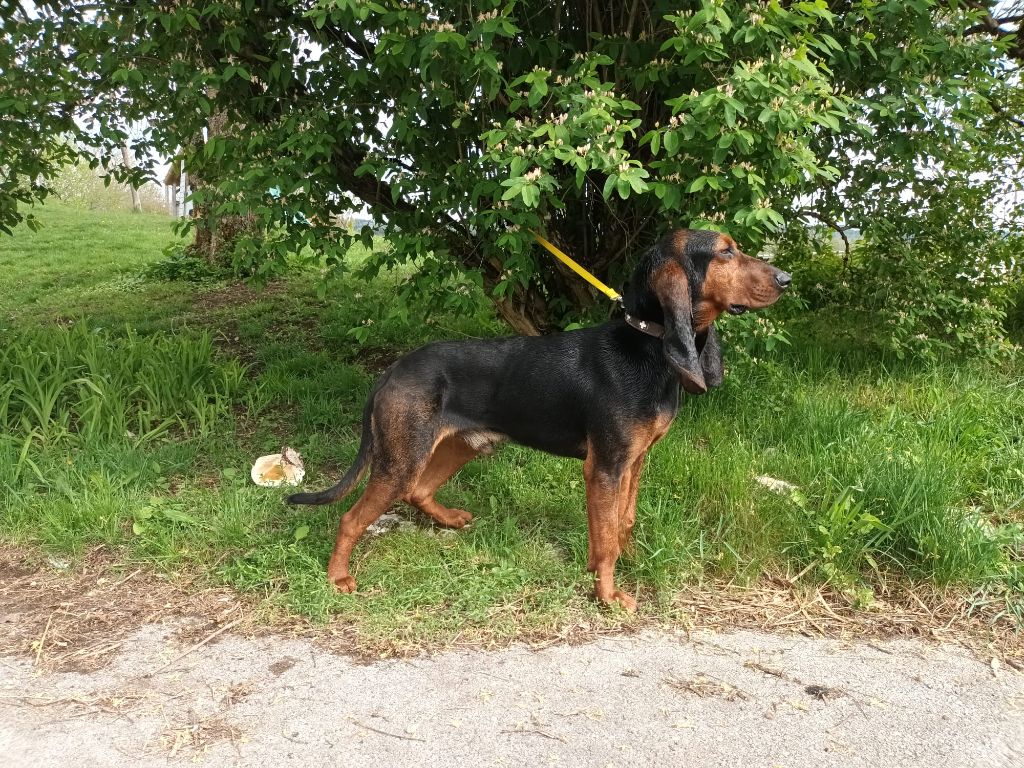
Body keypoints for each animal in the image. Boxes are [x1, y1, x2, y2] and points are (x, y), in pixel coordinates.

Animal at [288, 225, 790, 610]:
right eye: (725, 251)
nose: (785, 279)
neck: (646, 344)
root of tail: (391, 370)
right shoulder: (604, 467)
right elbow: (606, 536)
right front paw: (608, 595)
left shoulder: (635, 461)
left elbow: (621, 523)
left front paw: (620, 564)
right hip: (401, 458)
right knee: (352, 518)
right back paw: (338, 578)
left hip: (458, 446)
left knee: (418, 491)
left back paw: (448, 519)